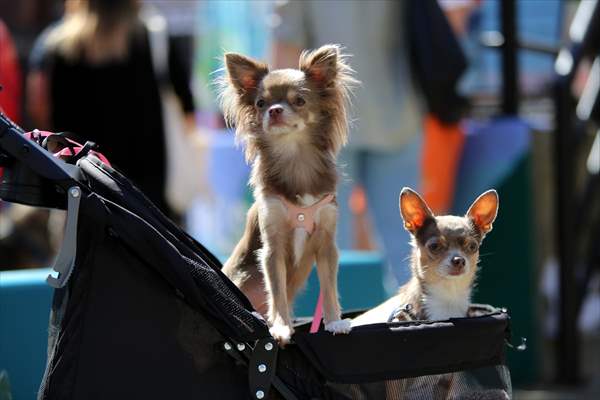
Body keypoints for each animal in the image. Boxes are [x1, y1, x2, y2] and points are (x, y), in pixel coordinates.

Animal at [223, 43, 358, 344]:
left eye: (299, 101)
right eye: (260, 104)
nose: (273, 110)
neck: (296, 158)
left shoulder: (326, 243)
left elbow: (329, 287)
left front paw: (334, 321)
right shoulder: (272, 248)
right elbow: (277, 293)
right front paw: (282, 326)